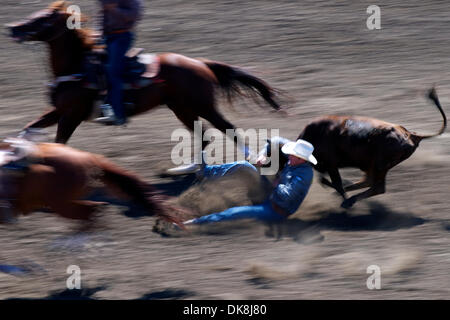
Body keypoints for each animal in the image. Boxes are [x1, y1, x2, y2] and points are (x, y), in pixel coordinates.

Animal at [6, 1, 282, 154]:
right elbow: (27, 128)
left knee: (228, 129)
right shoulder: (58, 110)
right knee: (204, 137)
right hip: (182, 108)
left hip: (202, 105)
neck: (76, 67)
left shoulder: (72, 114)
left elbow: (60, 142)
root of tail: (200, 63)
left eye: (43, 18)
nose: (12, 28)